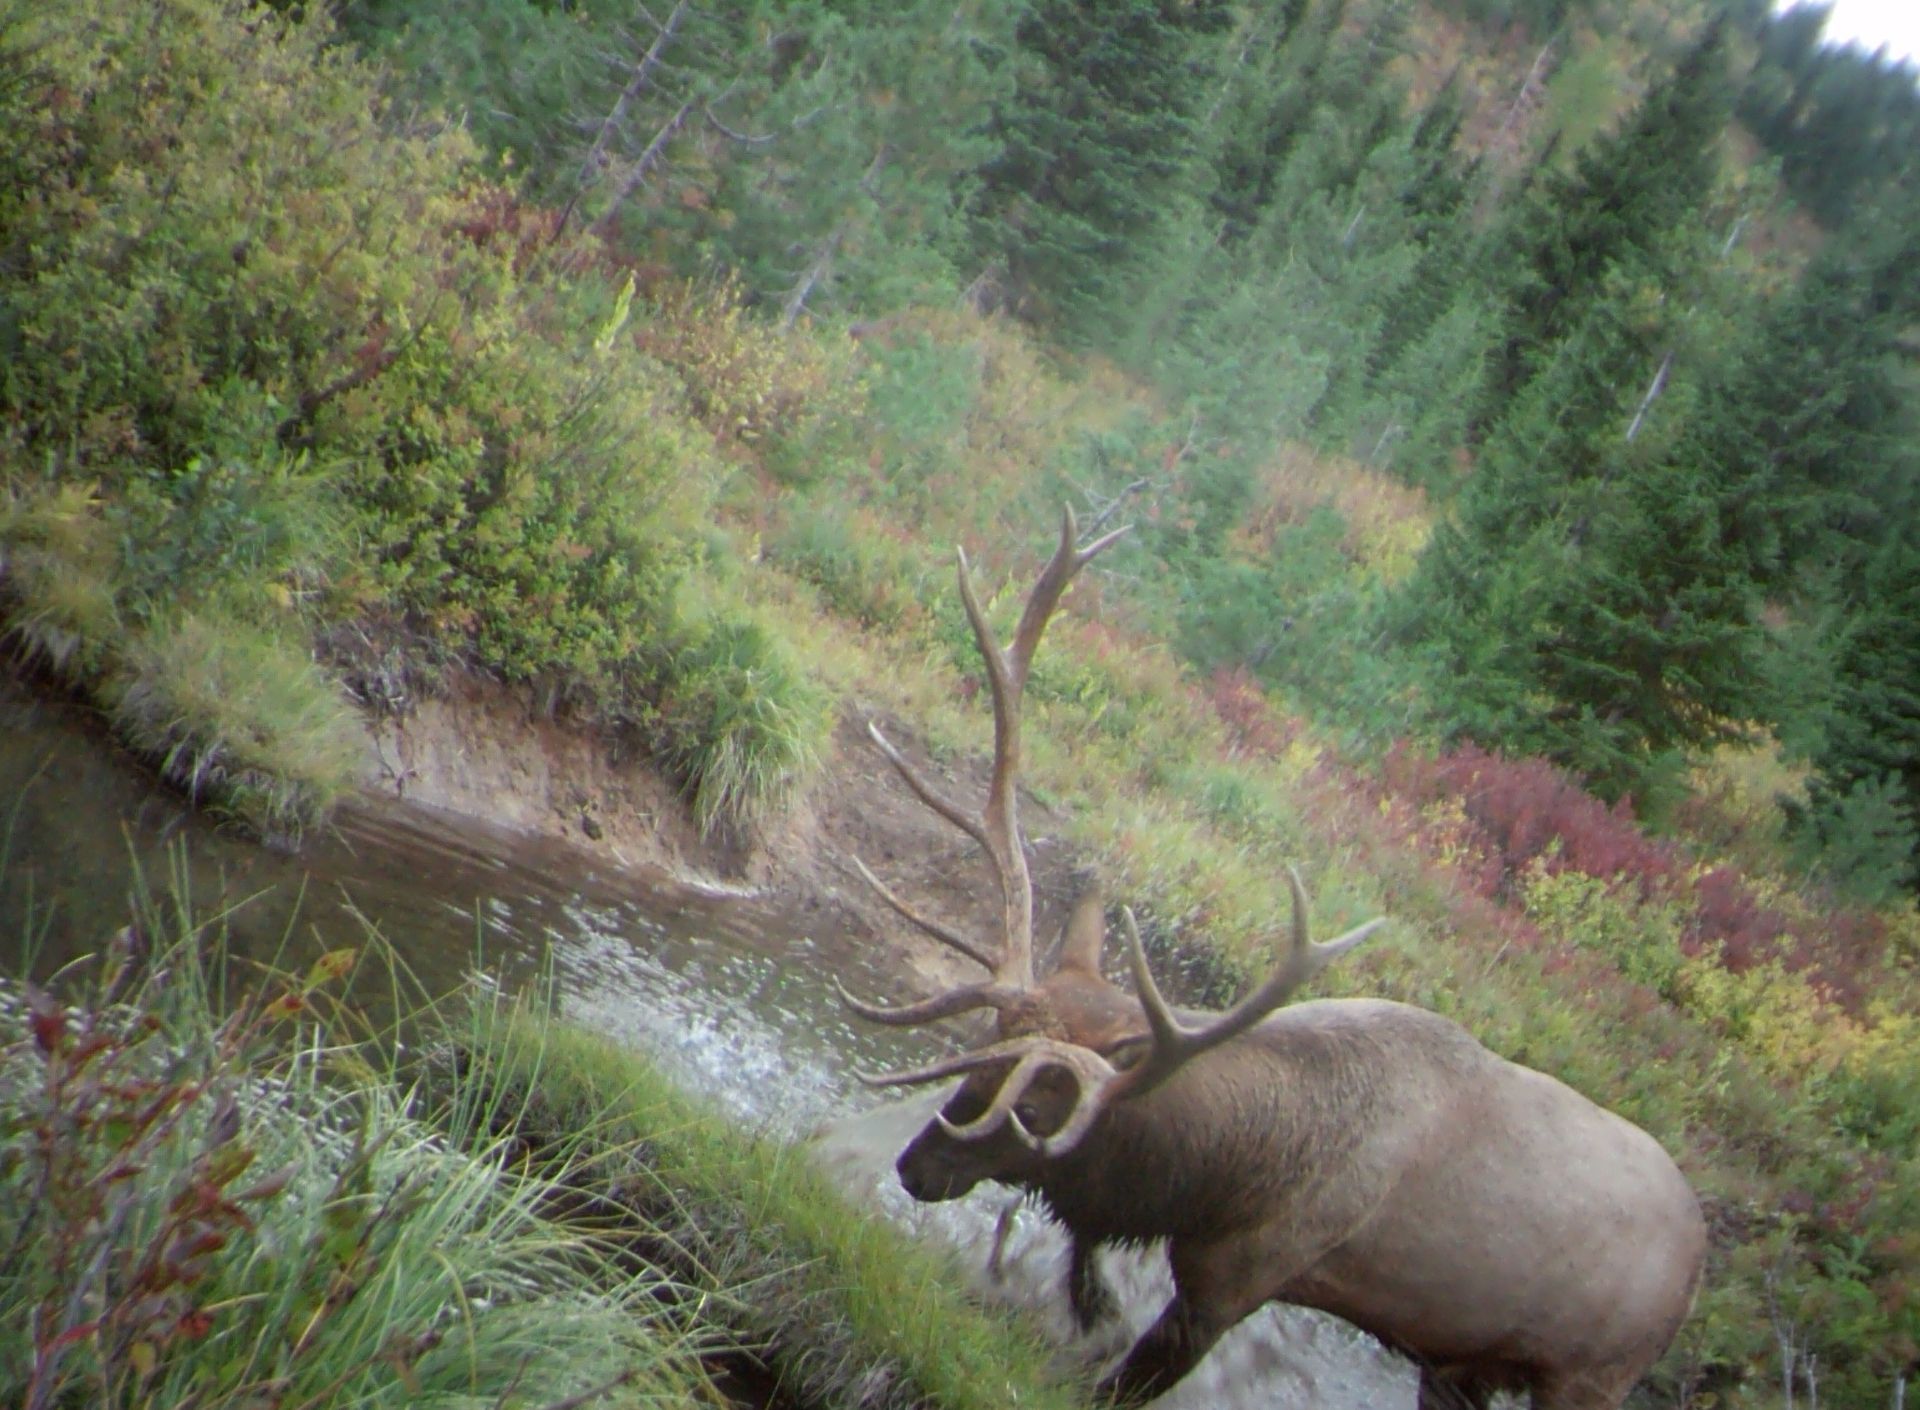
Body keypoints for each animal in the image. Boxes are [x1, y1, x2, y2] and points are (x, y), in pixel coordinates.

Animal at [836, 508, 1708, 1409]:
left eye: (1037, 1109)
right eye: (980, 1051)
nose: (917, 1165)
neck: (1219, 1175)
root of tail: (1698, 1262)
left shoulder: (1240, 1279)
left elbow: (1126, 1378)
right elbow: (1083, 1272)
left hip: (1590, 1376)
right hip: (1459, 1363)